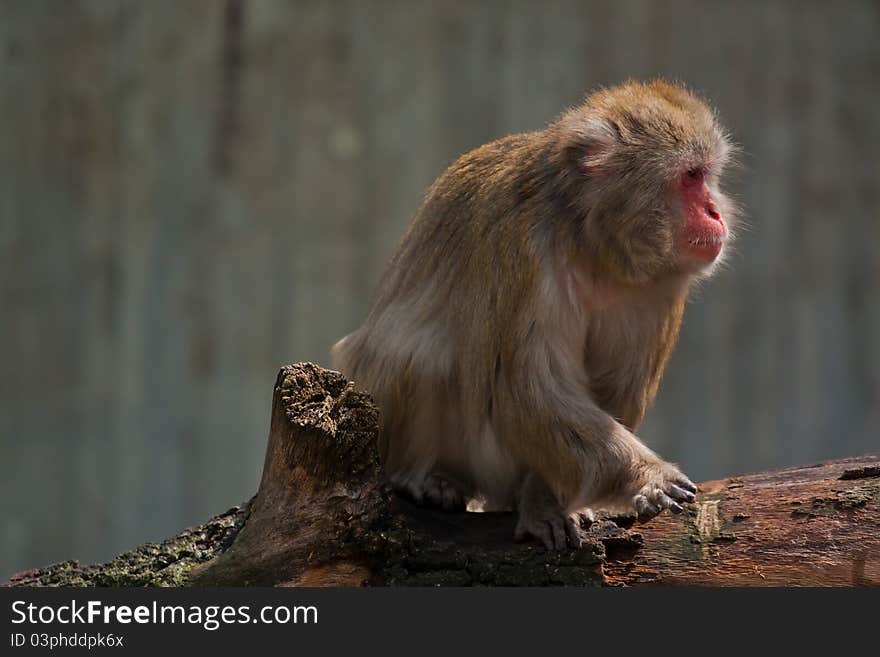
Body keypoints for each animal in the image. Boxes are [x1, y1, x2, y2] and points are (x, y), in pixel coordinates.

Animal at [330, 79, 736, 548]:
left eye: (706, 175)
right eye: (691, 176)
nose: (715, 211)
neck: (591, 244)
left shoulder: (660, 288)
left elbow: (611, 390)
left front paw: (545, 500)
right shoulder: (520, 249)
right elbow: (525, 385)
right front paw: (646, 476)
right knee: (423, 353)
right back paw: (423, 477)